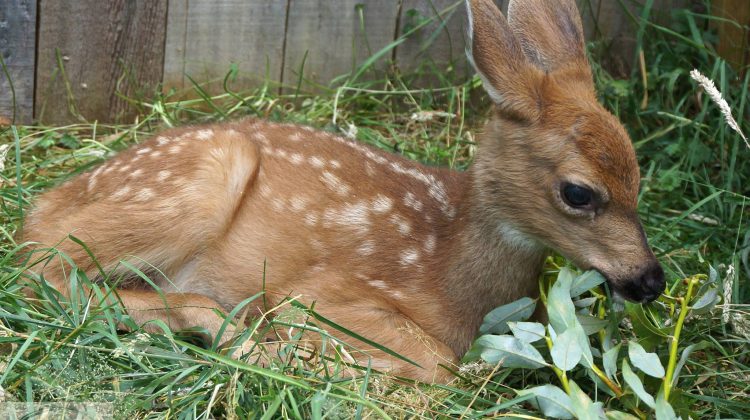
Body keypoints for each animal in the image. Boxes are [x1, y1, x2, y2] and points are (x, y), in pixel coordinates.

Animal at [20, 0, 664, 382]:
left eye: (638, 173)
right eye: (578, 192)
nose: (651, 280)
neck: (451, 265)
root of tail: (42, 203)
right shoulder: (322, 294)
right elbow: (439, 363)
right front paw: (302, 353)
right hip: (201, 178)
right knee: (46, 275)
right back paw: (225, 330)